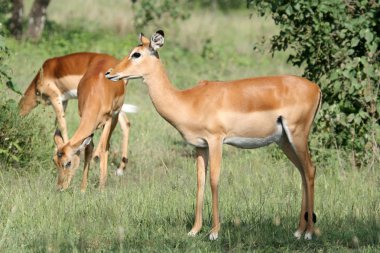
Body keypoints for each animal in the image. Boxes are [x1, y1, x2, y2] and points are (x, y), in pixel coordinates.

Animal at [52, 54, 126, 191]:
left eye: (68, 162)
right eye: (54, 160)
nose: (60, 187)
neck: (96, 94)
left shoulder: (108, 120)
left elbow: (102, 149)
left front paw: (101, 189)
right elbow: (88, 149)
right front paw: (83, 189)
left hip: (115, 116)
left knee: (106, 145)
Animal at [105, 30, 322, 240]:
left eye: (136, 54)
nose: (109, 73)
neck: (188, 101)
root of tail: (317, 88)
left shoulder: (216, 140)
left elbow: (214, 180)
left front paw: (214, 232)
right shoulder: (200, 146)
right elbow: (200, 182)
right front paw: (194, 230)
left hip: (297, 135)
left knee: (310, 170)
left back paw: (309, 233)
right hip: (284, 141)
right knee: (302, 172)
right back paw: (298, 231)